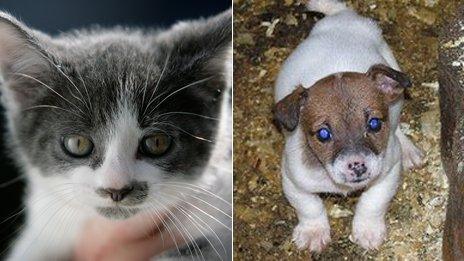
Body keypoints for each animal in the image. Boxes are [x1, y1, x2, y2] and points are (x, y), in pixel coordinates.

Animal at [276, 0, 424, 252]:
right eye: (323, 134)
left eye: (374, 124)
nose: (357, 166)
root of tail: (342, 16)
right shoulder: (293, 181)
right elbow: (309, 206)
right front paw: (313, 232)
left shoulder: (388, 173)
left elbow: (372, 202)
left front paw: (367, 230)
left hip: (397, 91)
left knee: (396, 125)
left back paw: (408, 150)